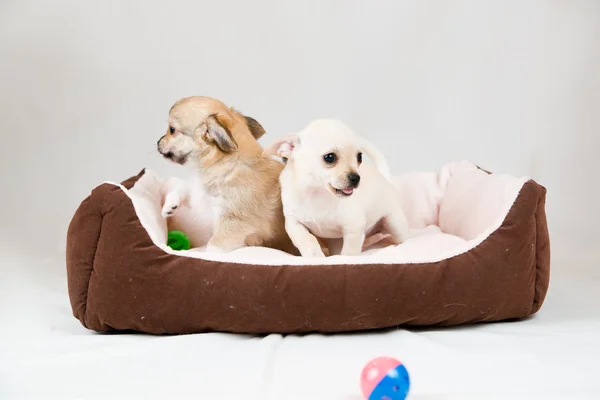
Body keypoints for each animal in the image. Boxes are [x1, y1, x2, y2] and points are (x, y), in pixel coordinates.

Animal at [157, 95, 298, 255]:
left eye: (172, 130)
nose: (158, 142)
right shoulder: (201, 195)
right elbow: (186, 186)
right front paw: (170, 204)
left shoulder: (233, 225)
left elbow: (212, 248)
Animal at [264, 117, 410, 258]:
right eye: (329, 157)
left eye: (359, 157)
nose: (356, 178)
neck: (317, 193)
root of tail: (385, 178)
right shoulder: (294, 224)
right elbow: (308, 241)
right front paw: (315, 257)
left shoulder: (354, 227)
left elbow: (349, 252)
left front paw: (345, 259)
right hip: (336, 241)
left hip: (394, 222)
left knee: (405, 237)